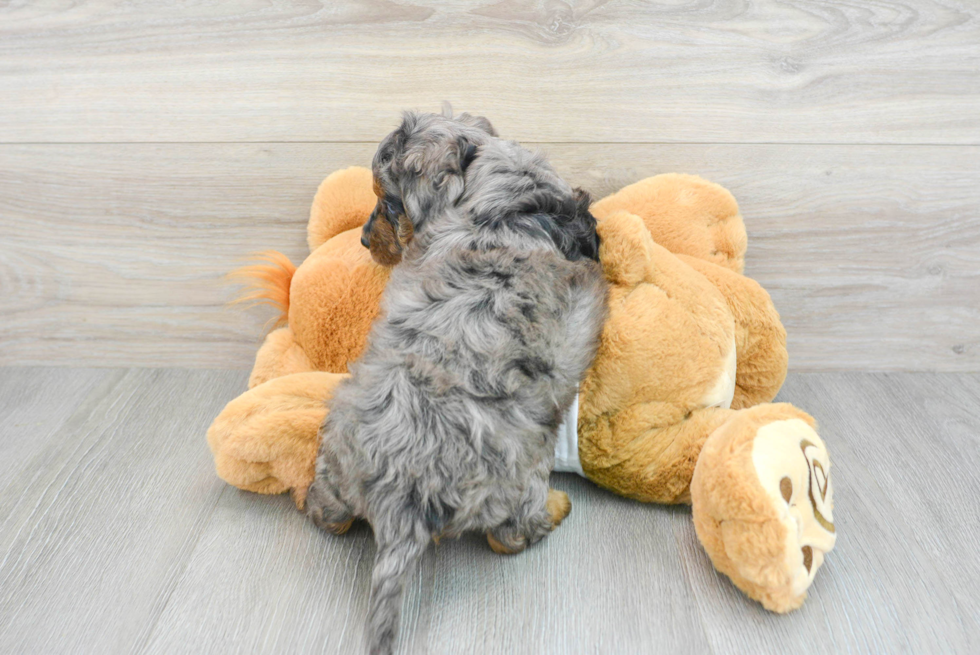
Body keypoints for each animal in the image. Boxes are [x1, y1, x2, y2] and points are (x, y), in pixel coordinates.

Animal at [306, 110, 608, 652]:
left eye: (388, 203)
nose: (362, 240)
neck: (499, 208)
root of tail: (401, 499)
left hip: (335, 450)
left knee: (328, 512)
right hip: (522, 472)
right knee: (510, 535)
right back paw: (556, 507)